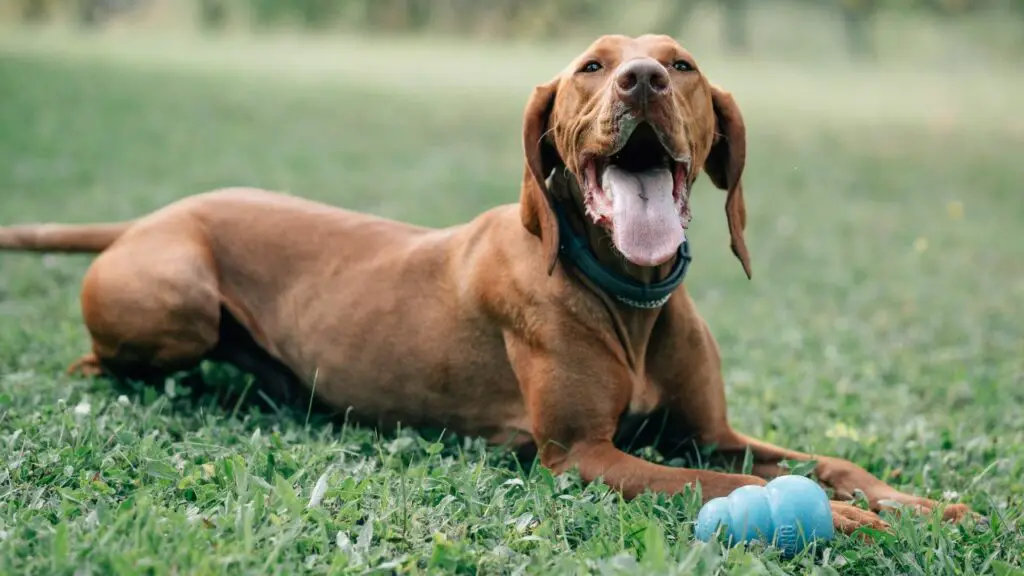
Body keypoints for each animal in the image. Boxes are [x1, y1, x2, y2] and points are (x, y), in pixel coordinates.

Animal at [2, 33, 974, 532]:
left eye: (683, 64)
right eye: (591, 66)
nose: (643, 79)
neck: (627, 297)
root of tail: (150, 217)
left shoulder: (711, 433)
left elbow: (831, 460)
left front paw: (917, 501)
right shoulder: (581, 455)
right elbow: (717, 488)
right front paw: (844, 520)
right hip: (179, 304)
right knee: (100, 366)